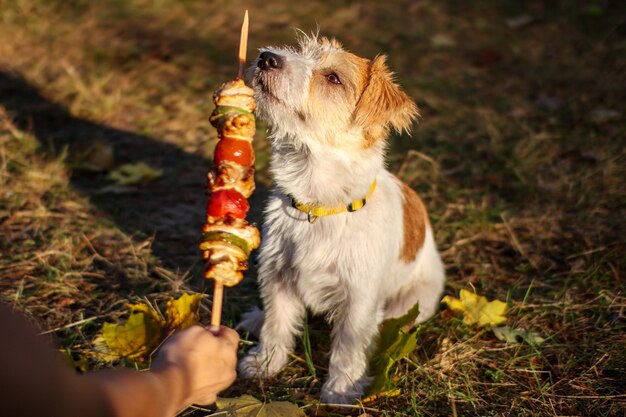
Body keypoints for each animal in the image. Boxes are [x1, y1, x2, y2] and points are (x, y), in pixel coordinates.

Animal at [235, 33, 444, 404]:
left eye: (333, 78)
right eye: (297, 50)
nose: (266, 57)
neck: (321, 204)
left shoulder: (359, 298)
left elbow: (349, 344)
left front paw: (342, 388)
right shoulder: (277, 277)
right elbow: (277, 325)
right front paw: (266, 363)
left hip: (414, 300)